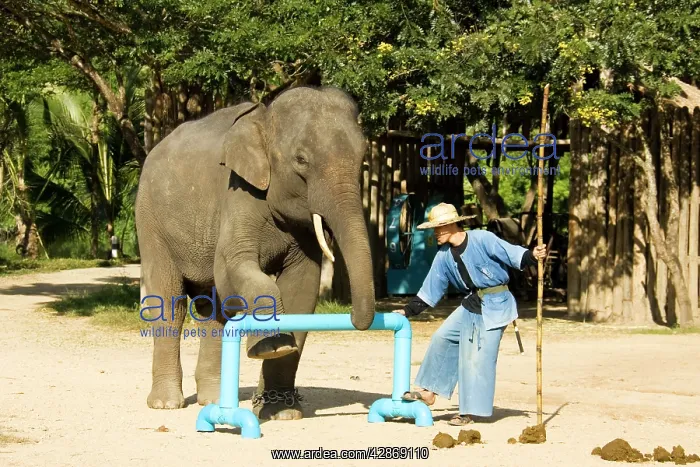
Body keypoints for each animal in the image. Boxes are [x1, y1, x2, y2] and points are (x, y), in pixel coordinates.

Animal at [134, 86, 375, 420]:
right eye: (301, 160)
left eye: (363, 156)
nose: (352, 316)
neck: (266, 115)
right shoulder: (238, 192)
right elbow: (231, 267)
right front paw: (270, 347)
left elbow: (302, 288)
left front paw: (282, 412)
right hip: (151, 221)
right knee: (170, 302)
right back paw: (166, 404)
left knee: (213, 312)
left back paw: (212, 401)